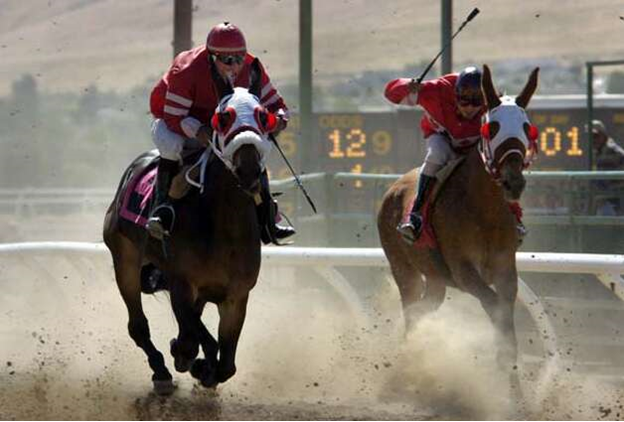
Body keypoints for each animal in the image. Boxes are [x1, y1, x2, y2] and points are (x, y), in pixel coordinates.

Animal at [103, 61, 272, 394]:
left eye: (263, 115)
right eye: (223, 117)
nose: (248, 169)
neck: (225, 226)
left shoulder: (237, 295)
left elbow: (227, 363)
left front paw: (203, 367)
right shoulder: (182, 282)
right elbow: (195, 337)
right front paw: (188, 358)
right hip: (125, 260)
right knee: (138, 326)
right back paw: (161, 371)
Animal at [378, 66, 540, 382]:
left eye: (527, 127)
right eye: (493, 127)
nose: (513, 182)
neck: (484, 210)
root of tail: (392, 190)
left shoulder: (506, 268)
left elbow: (505, 312)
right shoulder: (463, 270)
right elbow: (494, 307)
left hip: (435, 279)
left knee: (422, 309)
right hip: (403, 268)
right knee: (411, 308)